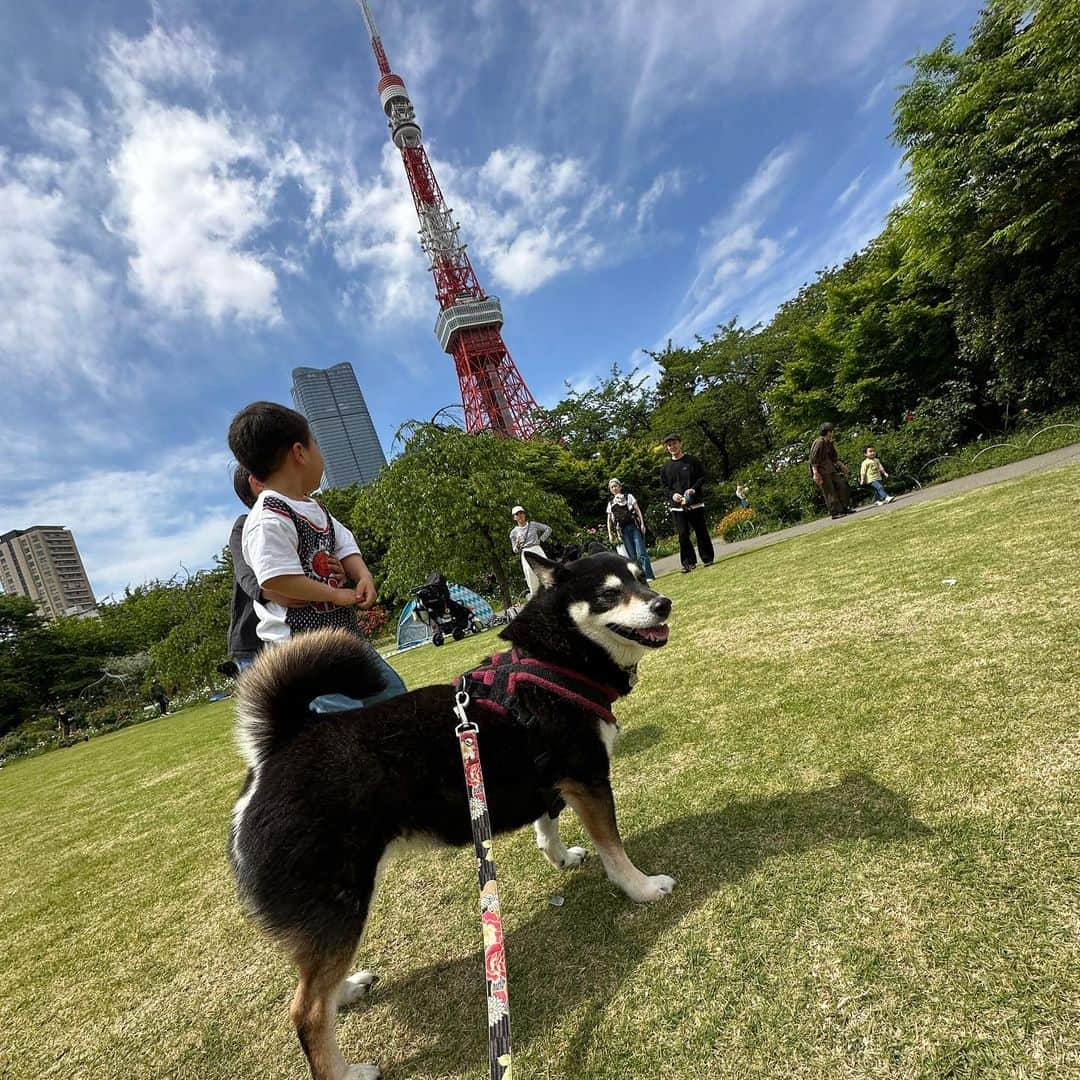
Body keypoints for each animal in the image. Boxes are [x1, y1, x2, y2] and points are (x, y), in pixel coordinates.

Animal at [232, 552, 673, 1075]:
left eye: (640, 577)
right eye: (608, 594)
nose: (662, 603)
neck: (553, 662)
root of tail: (272, 752)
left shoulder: (551, 777)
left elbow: (548, 821)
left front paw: (560, 857)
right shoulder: (588, 779)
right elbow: (614, 849)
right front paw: (642, 888)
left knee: (312, 979)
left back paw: (346, 989)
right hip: (342, 901)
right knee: (305, 1010)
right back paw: (344, 1070)